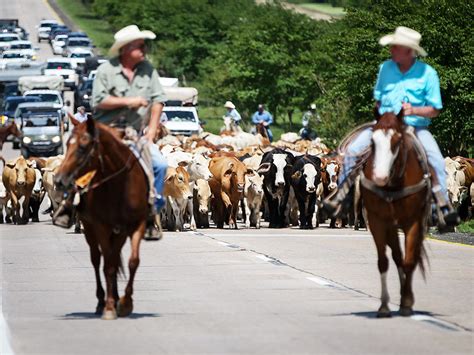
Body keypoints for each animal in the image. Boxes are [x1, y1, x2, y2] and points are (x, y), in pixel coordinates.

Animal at [54, 118, 149, 322]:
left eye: (83, 148)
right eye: (67, 144)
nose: (59, 180)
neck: (119, 185)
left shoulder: (133, 225)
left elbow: (132, 261)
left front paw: (125, 303)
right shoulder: (101, 226)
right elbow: (108, 266)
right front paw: (110, 306)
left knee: (112, 257)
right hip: (90, 229)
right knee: (97, 260)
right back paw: (101, 301)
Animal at [362, 110, 432, 318]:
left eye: (397, 141)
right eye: (373, 141)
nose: (379, 177)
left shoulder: (413, 222)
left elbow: (409, 261)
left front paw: (407, 302)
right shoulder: (377, 221)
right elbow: (384, 262)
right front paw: (384, 306)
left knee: (408, 258)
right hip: (391, 227)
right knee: (397, 257)